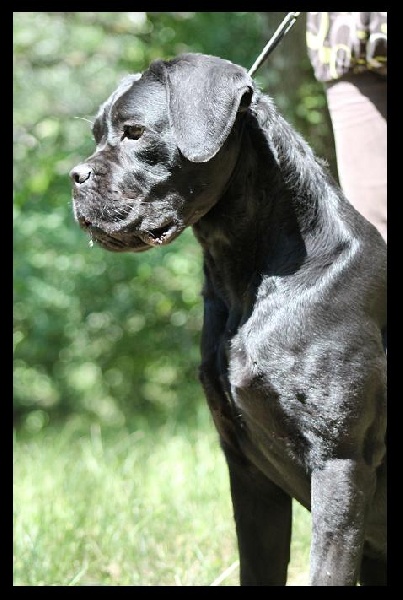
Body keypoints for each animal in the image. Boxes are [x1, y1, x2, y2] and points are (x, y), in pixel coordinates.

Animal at [70, 52, 388, 584]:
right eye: (97, 134)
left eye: (134, 133)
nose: (73, 176)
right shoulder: (246, 467)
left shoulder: (341, 461)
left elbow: (325, 569)